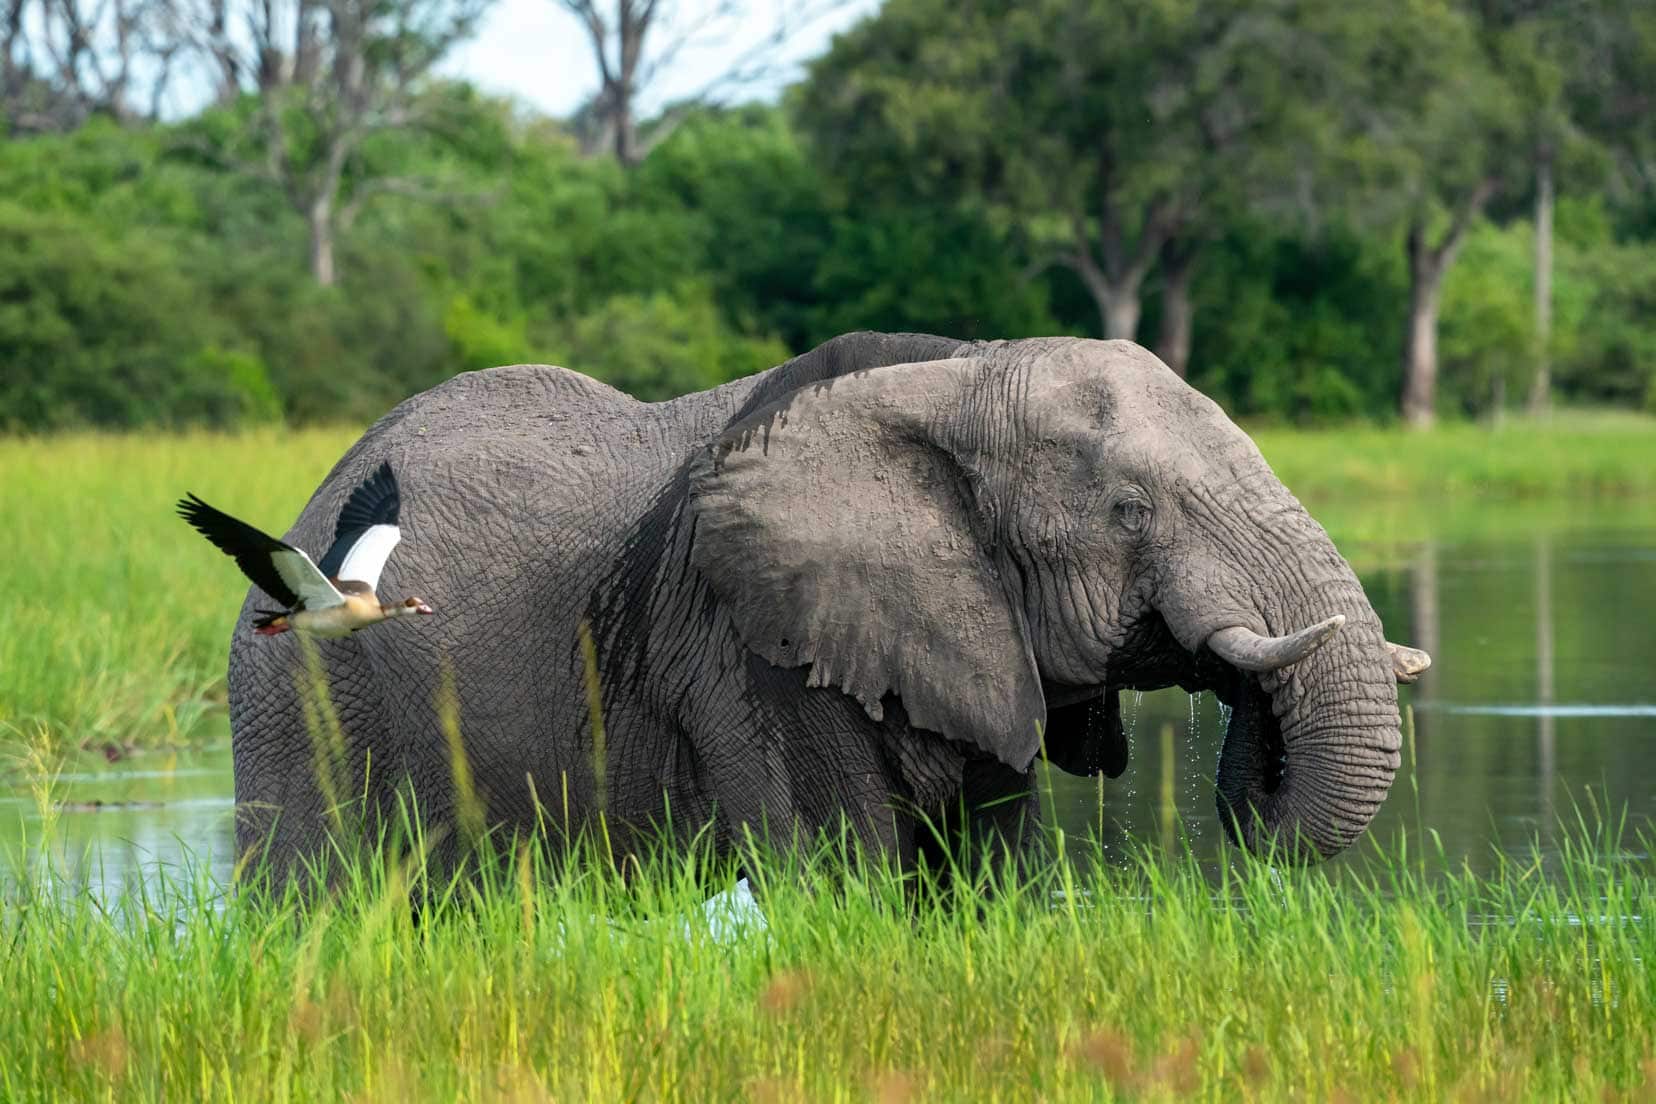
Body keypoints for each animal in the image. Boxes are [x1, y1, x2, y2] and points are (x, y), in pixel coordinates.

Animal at [226, 332, 1430, 887]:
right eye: (1130, 510)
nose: (1250, 734)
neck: (956, 375)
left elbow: (984, 878)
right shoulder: (746, 642)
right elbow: (843, 877)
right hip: (301, 698)